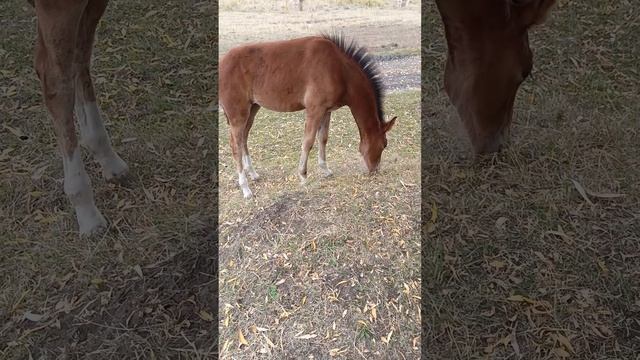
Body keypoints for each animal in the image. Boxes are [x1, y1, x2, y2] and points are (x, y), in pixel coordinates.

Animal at [220, 34, 396, 198]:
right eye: (384, 144)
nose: (375, 170)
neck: (339, 69)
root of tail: (222, 63)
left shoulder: (326, 110)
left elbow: (322, 139)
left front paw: (325, 169)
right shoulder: (314, 109)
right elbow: (308, 141)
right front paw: (303, 176)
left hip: (252, 109)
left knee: (243, 139)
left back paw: (253, 174)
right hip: (238, 115)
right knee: (235, 145)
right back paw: (245, 188)